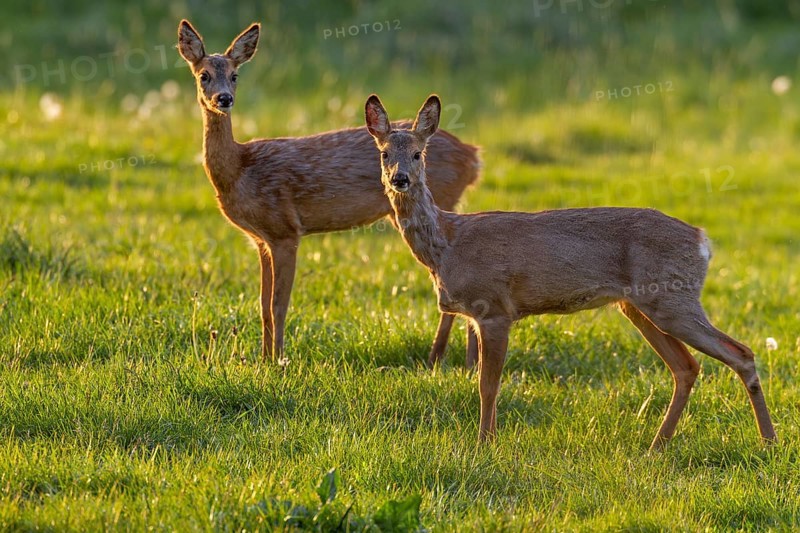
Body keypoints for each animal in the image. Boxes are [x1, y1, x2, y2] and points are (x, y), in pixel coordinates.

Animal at [177, 20, 480, 365]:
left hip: (442, 197)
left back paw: (442, 360)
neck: (240, 169)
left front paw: (278, 362)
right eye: (203, 75)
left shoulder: (284, 230)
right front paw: (264, 358)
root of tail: (473, 157)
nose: (224, 98)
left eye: (235, 74)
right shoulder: (261, 239)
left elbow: (278, 306)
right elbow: (262, 305)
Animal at [365, 93, 777, 450]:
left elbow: (488, 385)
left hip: (673, 297)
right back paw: (656, 446)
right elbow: (485, 382)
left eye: (418, 154)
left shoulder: (494, 308)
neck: (446, 244)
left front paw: (484, 444)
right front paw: (488, 440)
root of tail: (702, 240)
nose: (400, 178)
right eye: (384, 154)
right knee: (687, 367)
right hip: (639, 305)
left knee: (740, 352)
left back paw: (768, 441)